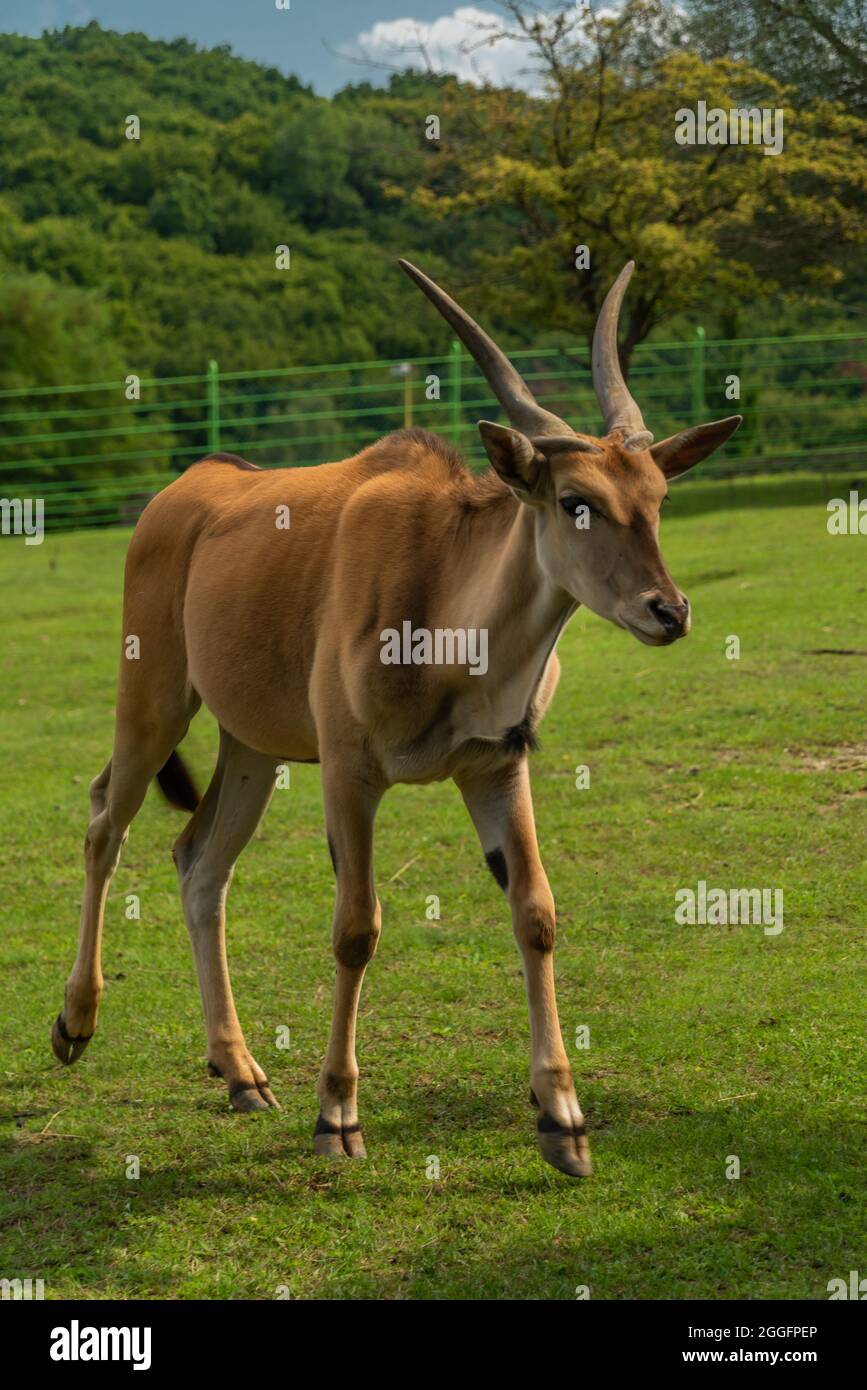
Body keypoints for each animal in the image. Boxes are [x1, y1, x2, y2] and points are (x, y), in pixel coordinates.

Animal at [50, 258, 739, 1173]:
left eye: (658, 498)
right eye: (575, 502)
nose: (669, 611)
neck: (446, 611)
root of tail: (188, 488)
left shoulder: (497, 766)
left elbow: (535, 913)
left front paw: (561, 1116)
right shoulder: (349, 773)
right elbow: (356, 928)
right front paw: (337, 1115)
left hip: (252, 747)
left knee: (200, 861)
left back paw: (239, 1070)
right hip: (154, 700)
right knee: (105, 823)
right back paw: (76, 1022)